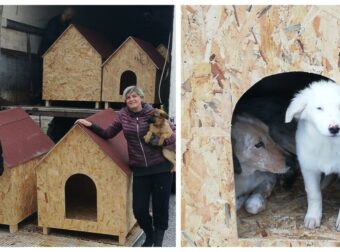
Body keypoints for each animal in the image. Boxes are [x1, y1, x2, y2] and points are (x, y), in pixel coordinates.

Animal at [286, 80, 340, 230]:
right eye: (319, 108)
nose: (335, 129)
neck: (329, 144)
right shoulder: (308, 168)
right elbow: (314, 194)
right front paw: (313, 217)